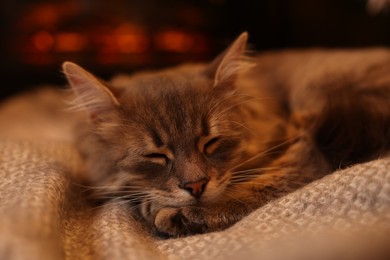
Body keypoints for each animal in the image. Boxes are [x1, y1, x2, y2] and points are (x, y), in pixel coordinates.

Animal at [62, 32, 390, 238]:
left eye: (211, 142)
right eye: (155, 156)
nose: (195, 185)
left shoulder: (298, 145)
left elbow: (257, 187)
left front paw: (174, 213)